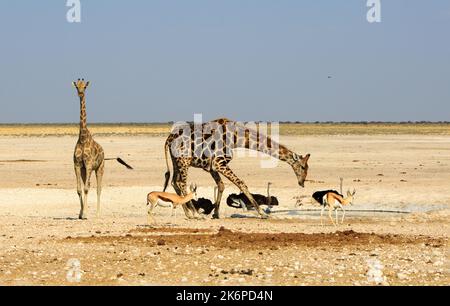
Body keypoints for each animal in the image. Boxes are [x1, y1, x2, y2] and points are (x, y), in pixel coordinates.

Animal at [72, 77, 132, 219]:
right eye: (77, 86)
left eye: (85, 87)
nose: (80, 93)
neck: (82, 138)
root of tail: (105, 153)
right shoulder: (77, 165)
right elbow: (79, 189)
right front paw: (81, 213)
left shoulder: (89, 164)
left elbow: (86, 189)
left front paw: (86, 214)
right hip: (85, 170)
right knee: (88, 185)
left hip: (100, 168)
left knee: (99, 189)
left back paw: (98, 213)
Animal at [163, 118, 312, 219]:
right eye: (303, 166)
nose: (302, 182)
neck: (236, 138)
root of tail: (169, 139)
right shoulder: (219, 163)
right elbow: (241, 183)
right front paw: (262, 213)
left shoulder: (213, 166)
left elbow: (221, 185)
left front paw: (216, 214)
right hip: (184, 161)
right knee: (181, 183)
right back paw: (195, 213)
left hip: (176, 161)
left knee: (174, 182)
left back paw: (188, 213)